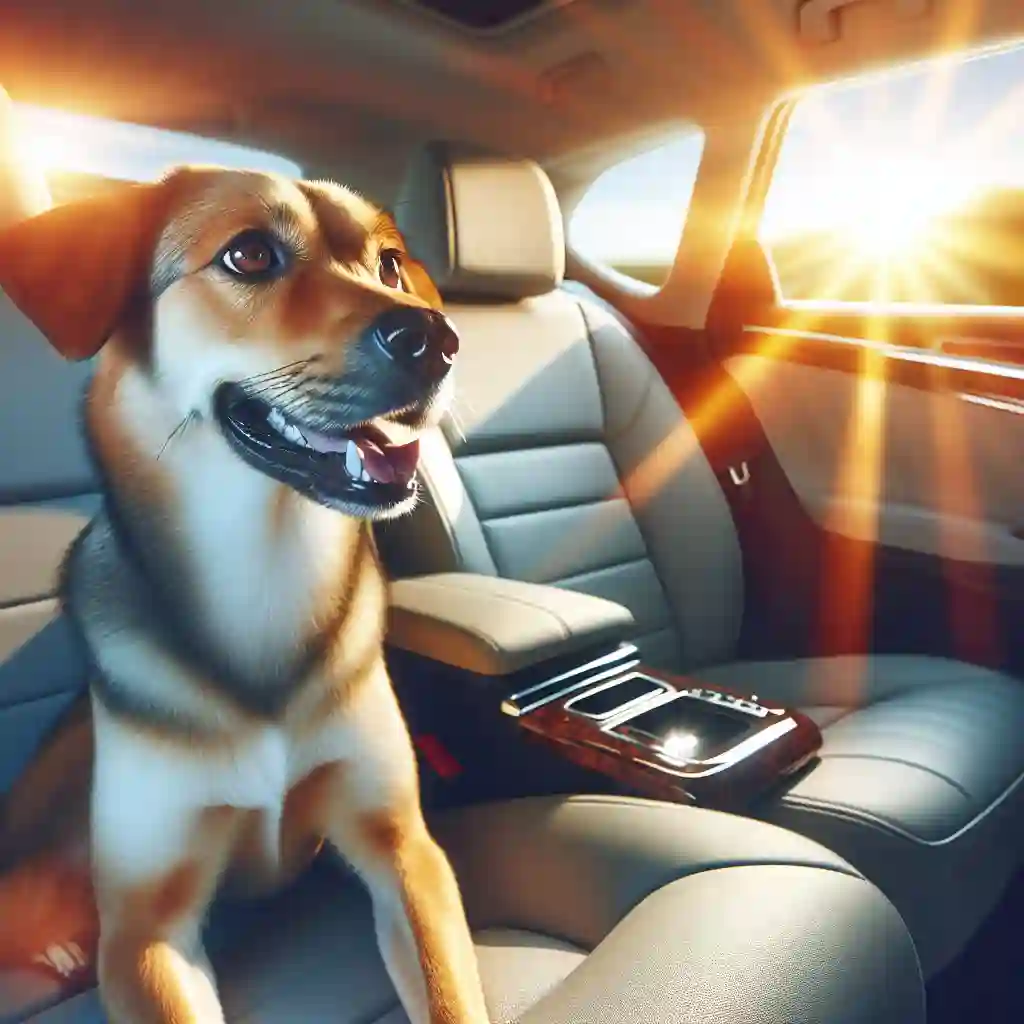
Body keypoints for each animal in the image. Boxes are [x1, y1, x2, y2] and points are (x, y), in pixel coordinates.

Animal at [0, 167, 491, 1024]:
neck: (268, 567)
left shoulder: (403, 848)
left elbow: (449, 996)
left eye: (390, 265)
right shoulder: (145, 931)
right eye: (251, 254)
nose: (439, 339)